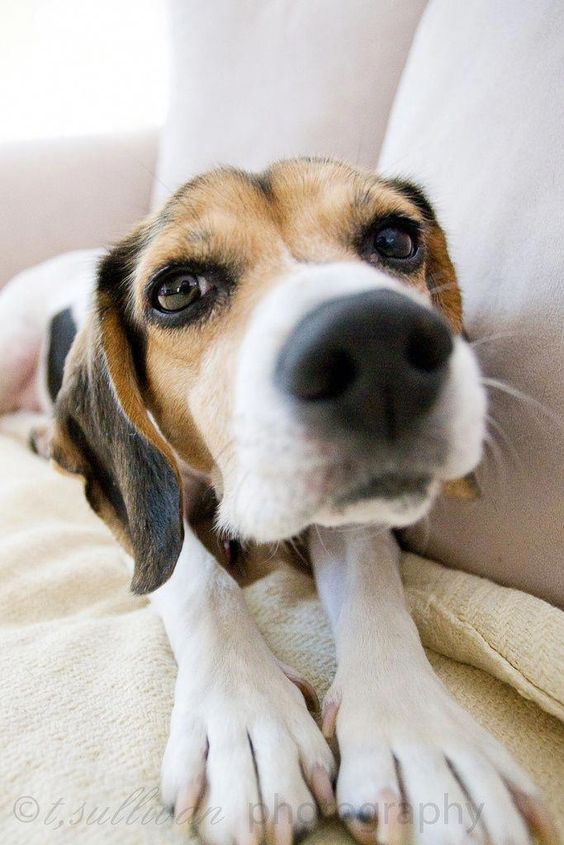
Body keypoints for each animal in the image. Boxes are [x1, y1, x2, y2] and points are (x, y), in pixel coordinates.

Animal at [0, 162, 556, 844]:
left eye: (396, 240)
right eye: (177, 290)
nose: (374, 341)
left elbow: (373, 585)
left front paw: (422, 739)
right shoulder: (143, 519)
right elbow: (197, 578)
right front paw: (246, 718)